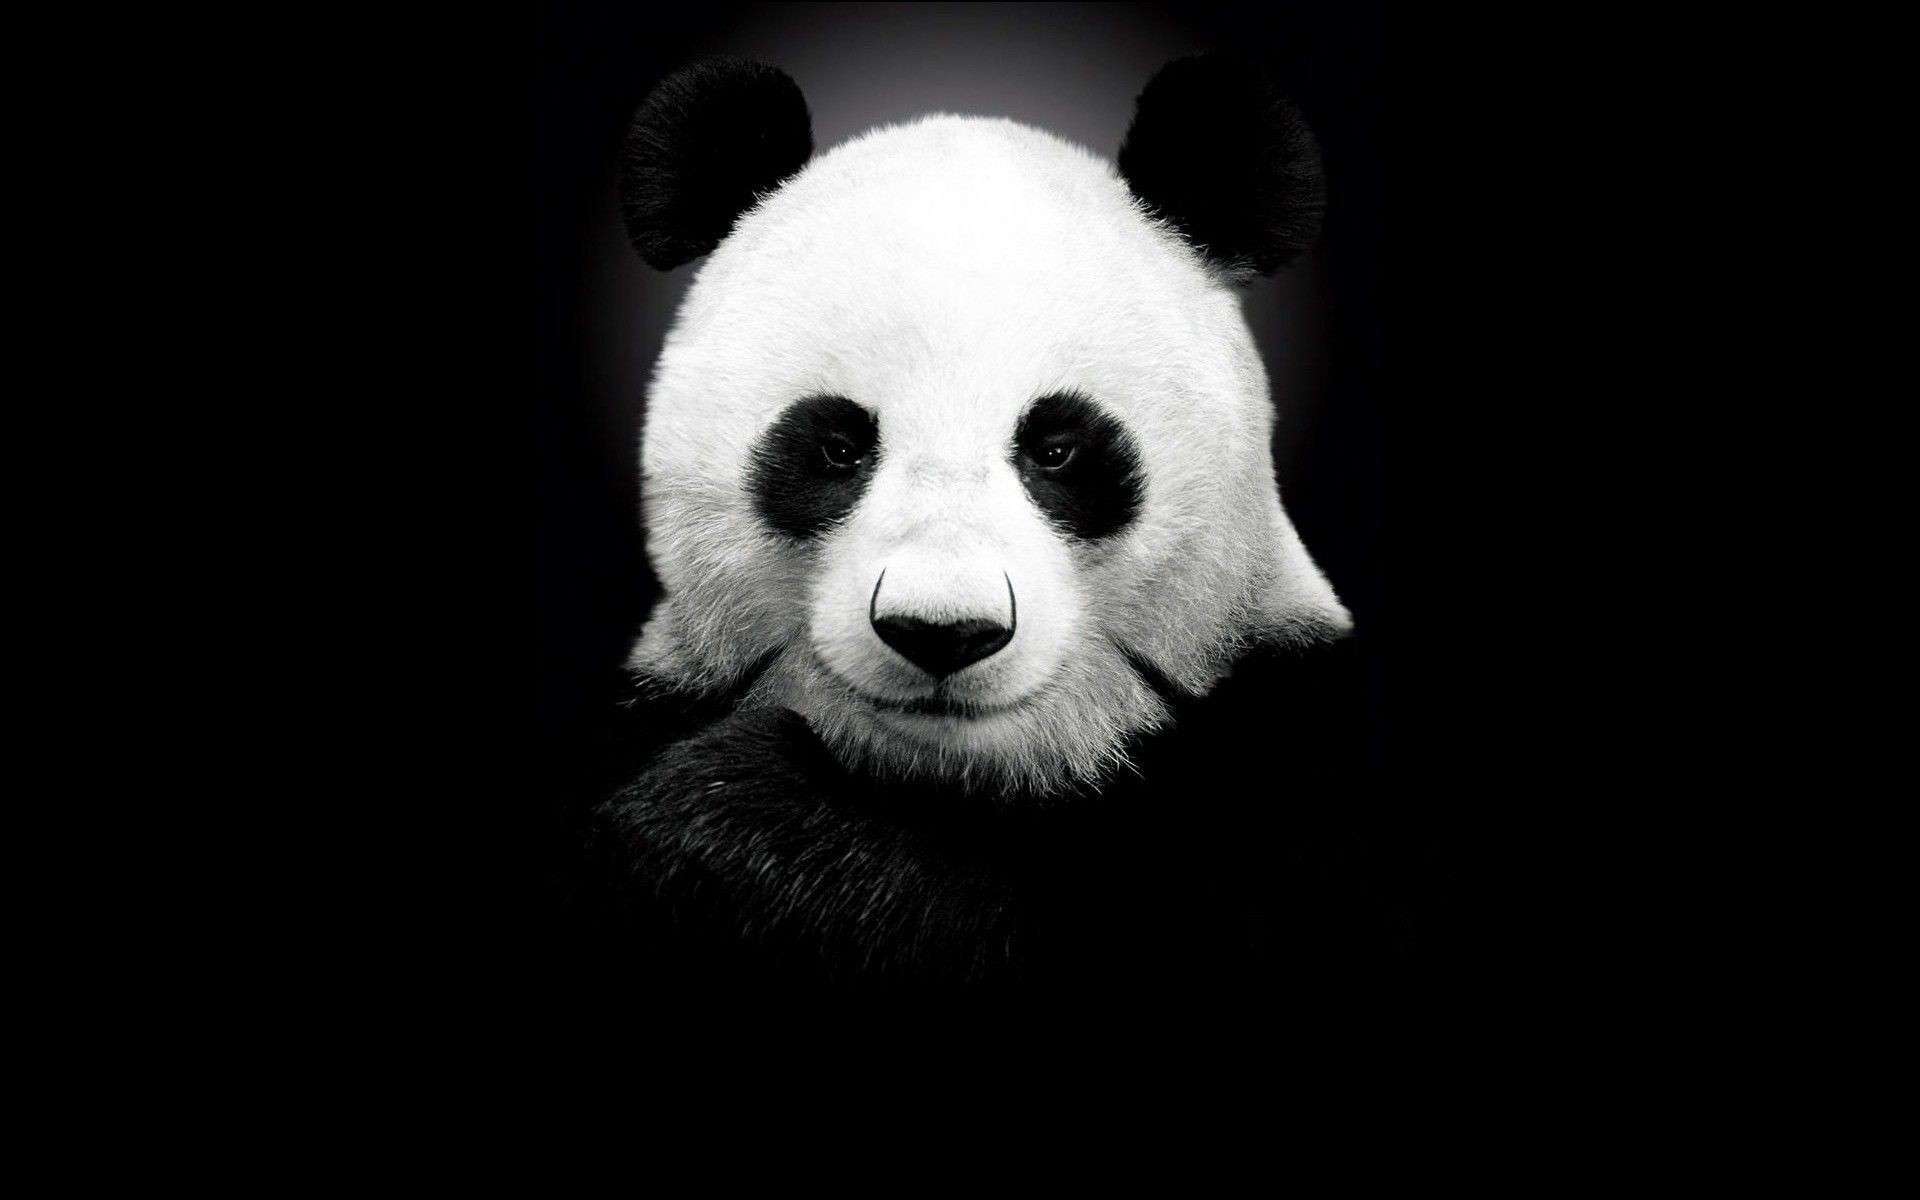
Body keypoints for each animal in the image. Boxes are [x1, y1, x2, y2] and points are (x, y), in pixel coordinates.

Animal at [583, 56, 1418, 990]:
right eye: (837, 447)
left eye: (1056, 449)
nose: (943, 632)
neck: (955, 780)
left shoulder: (1295, 761)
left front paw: (734, 824)